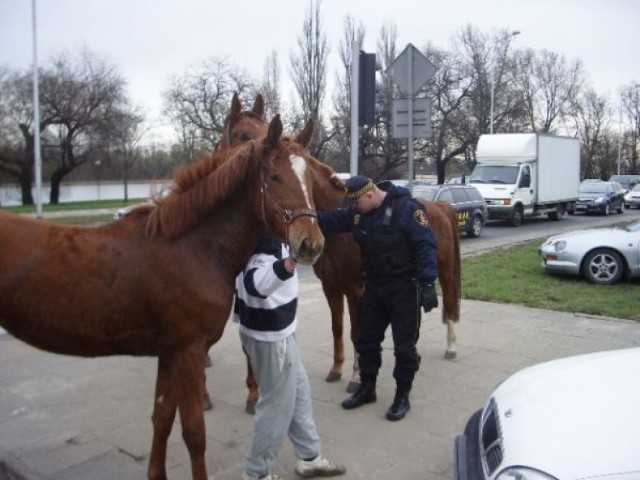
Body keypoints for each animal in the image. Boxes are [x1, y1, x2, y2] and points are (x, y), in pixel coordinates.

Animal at [0, 116, 324, 480]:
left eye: (311, 178)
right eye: (274, 176)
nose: (310, 244)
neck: (194, 247)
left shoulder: (169, 353)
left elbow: (162, 418)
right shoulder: (189, 353)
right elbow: (194, 432)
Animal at [222, 94, 462, 412]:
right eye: (242, 135)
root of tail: (442, 207)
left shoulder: (357, 290)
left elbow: (358, 332)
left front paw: (357, 377)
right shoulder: (332, 287)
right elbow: (337, 327)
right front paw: (336, 370)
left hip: (445, 272)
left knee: (450, 303)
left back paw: (451, 347)